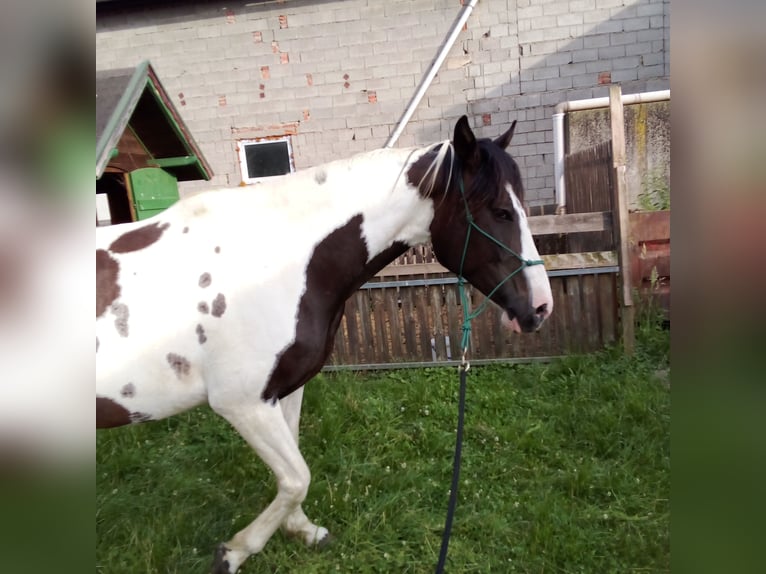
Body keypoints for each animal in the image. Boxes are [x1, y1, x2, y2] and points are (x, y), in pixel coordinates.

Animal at [96, 115, 553, 573]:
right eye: (500, 211)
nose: (541, 307)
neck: (276, 263)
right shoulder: (242, 403)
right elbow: (298, 477)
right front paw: (234, 552)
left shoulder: (283, 391)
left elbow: (293, 470)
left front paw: (301, 530)